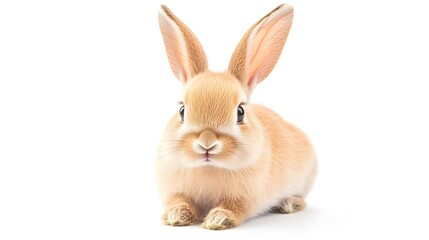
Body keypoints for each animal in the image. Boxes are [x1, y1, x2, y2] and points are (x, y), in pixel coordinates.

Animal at [155, 2, 316, 230]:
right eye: (182, 111)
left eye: (240, 112)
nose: (207, 143)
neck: (210, 168)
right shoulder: (175, 191)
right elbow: (178, 200)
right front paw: (175, 216)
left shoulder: (245, 198)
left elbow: (233, 207)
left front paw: (217, 220)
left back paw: (289, 204)